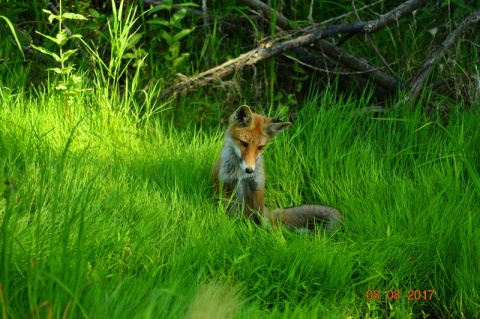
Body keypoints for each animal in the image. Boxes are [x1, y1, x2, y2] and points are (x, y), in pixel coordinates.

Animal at [212, 105, 344, 232]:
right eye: (244, 143)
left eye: (260, 147)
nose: (249, 170)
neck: (240, 175)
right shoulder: (224, 184)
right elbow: (222, 209)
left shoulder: (257, 187)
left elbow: (260, 219)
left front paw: (265, 234)